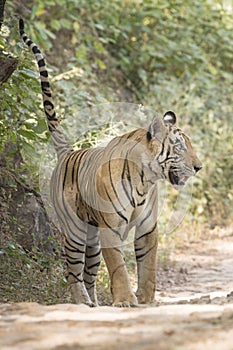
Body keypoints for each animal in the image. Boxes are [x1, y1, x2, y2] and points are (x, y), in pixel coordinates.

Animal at [19, 19, 202, 306]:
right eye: (181, 146)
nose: (198, 167)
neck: (146, 180)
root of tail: (67, 152)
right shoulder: (110, 227)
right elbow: (118, 266)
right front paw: (126, 299)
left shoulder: (147, 228)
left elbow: (148, 266)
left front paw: (146, 299)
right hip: (75, 231)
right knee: (72, 271)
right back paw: (82, 302)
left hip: (92, 240)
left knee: (89, 273)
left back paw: (94, 303)